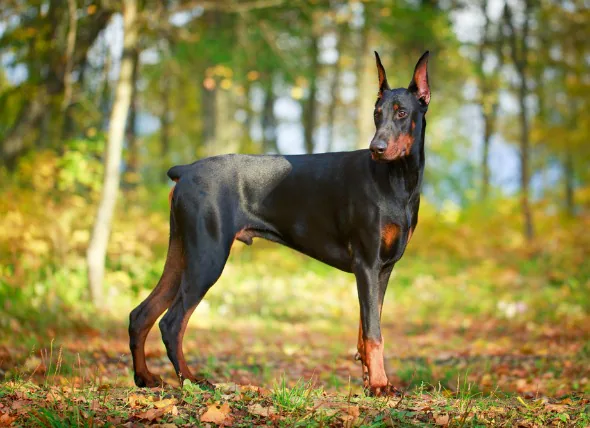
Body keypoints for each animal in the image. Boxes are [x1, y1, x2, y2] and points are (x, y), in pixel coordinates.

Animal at [131, 51, 430, 396]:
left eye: (401, 112)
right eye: (376, 113)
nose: (376, 148)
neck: (397, 179)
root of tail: (186, 170)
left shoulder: (383, 269)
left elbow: (366, 329)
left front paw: (370, 381)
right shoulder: (367, 264)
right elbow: (373, 333)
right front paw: (380, 385)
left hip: (182, 252)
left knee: (141, 314)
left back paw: (145, 377)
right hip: (208, 257)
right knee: (172, 323)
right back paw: (193, 381)